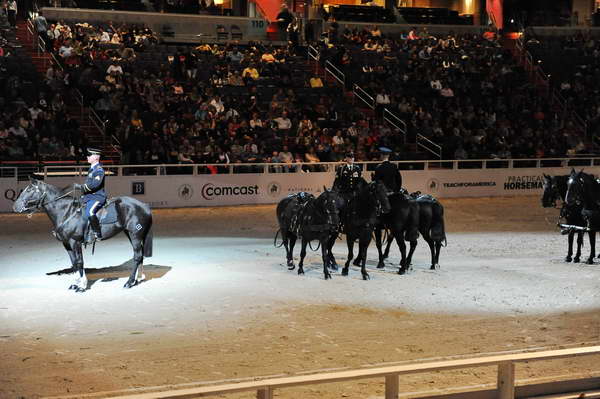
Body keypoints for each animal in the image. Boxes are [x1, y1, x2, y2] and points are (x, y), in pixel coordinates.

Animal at [13, 180, 154, 292]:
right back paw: (136, 280)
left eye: (29, 190)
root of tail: (144, 205)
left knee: (137, 256)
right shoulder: (67, 244)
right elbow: (74, 263)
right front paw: (75, 284)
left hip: (135, 235)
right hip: (130, 234)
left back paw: (129, 282)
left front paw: (82, 286)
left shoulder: (75, 242)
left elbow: (80, 262)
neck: (66, 211)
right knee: (139, 256)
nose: (15, 206)